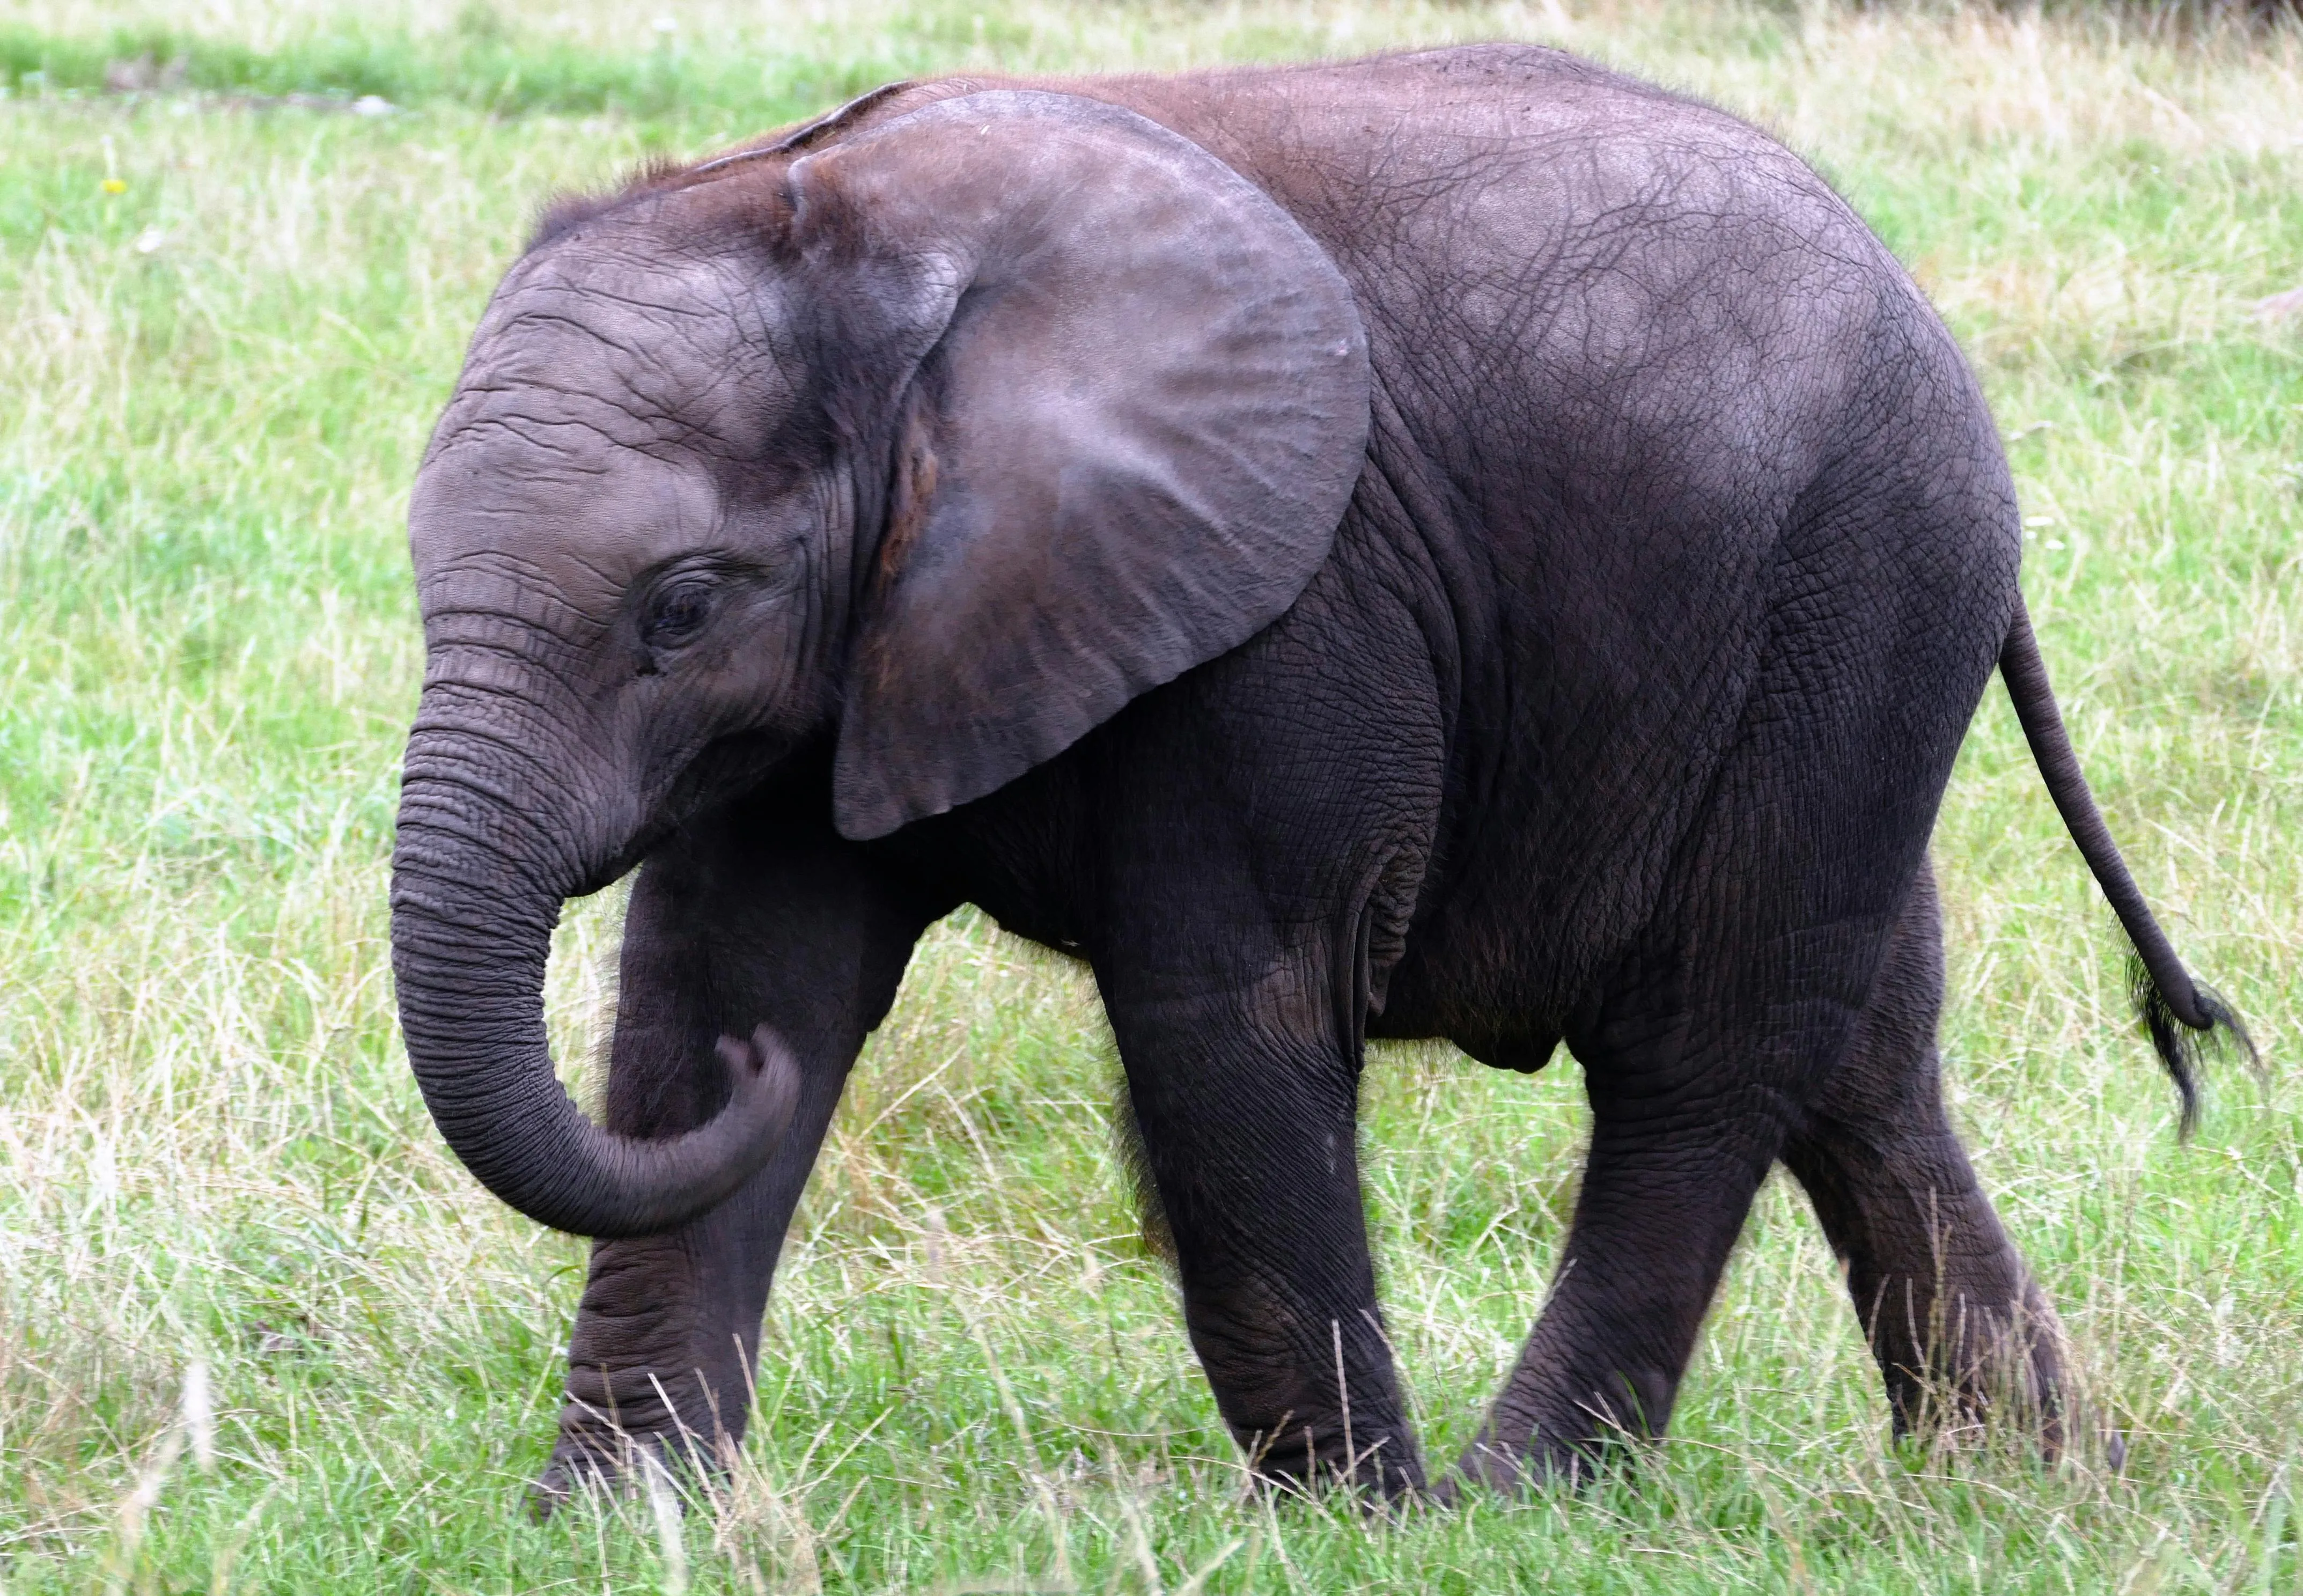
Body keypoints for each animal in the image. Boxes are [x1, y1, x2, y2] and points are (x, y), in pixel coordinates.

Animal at [390, 44, 2248, 1503]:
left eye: (681, 606)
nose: (764, 1083)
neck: (847, 236)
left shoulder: (1292, 607)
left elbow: (1228, 1012)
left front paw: (1353, 1519)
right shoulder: (859, 645)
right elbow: (731, 969)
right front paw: (618, 1518)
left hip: (1854, 597)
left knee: (1707, 1053)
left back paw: (1516, 1499)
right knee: (1864, 1054)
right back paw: (2025, 1483)